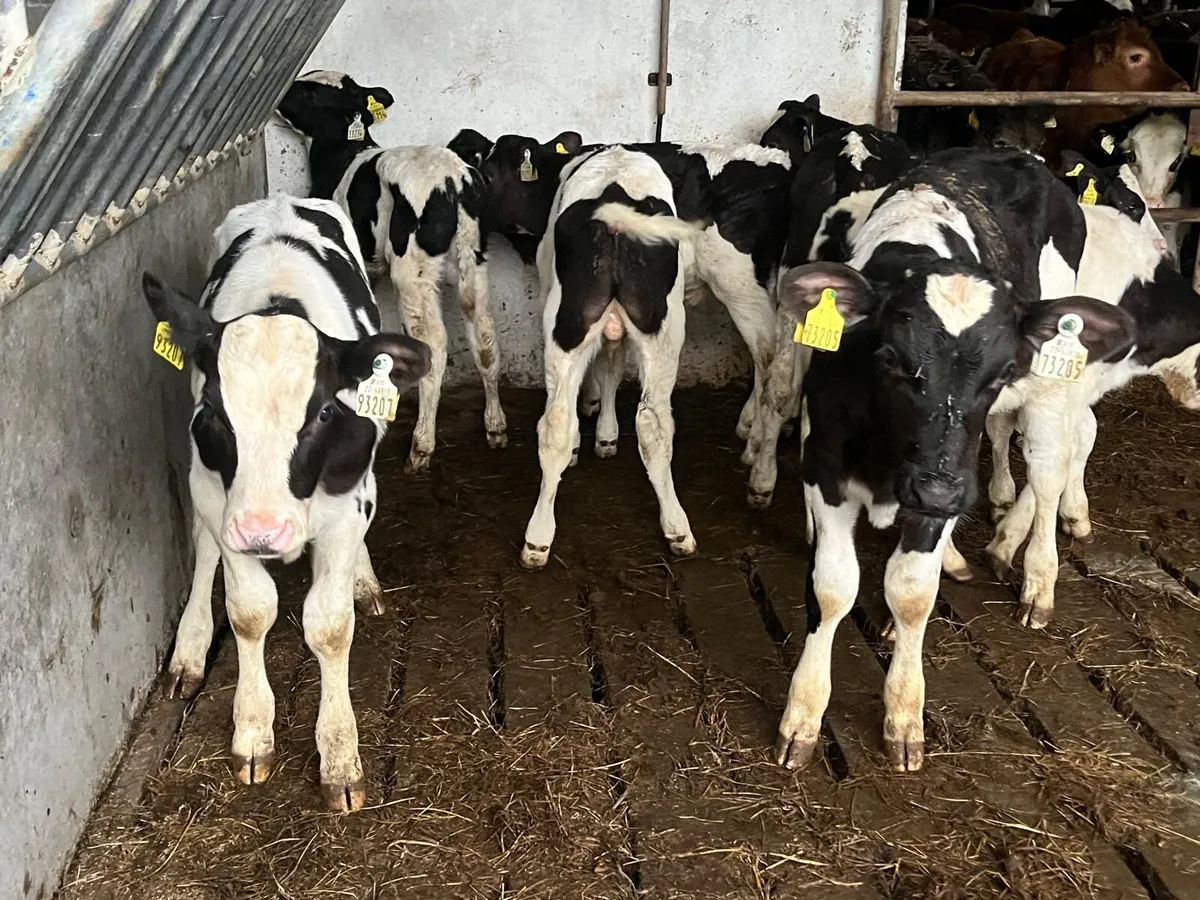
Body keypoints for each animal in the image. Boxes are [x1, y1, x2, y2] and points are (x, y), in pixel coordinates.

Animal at [144, 195, 430, 810]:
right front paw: (253, 732)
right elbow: (249, 612)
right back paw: (190, 649)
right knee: (205, 549)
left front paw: (340, 757)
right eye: (214, 412)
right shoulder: (216, 496)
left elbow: (330, 625)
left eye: (323, 412)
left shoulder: (348, 503)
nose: (263, 530)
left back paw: (363, 581)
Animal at [277, 71, 505, 474]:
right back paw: (495, 426)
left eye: (309, 93)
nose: (279, 100)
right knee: (484, 334)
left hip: (411, 270)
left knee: (434, 341)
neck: (341, 157)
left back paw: (421, 446)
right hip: (473, 262)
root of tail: (453, 178)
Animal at [518, 146, 701, 569]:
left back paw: (538, 539)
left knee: (562, 421)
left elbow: (607, 371)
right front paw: (604, 432)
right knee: (650, 423)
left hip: (570, 323)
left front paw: (598, 431)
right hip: (664, 328)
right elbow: (610, 371)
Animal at [771, 149, 1135, 774]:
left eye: (1002, 372)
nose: (939, 492)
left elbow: (913, 590)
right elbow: (833, 587)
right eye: (889, 358)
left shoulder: (948, 478)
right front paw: (804, 715)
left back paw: (1036, 577)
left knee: (1049, 471)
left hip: (1046, 398)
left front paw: (903, 715)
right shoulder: (824, 466)